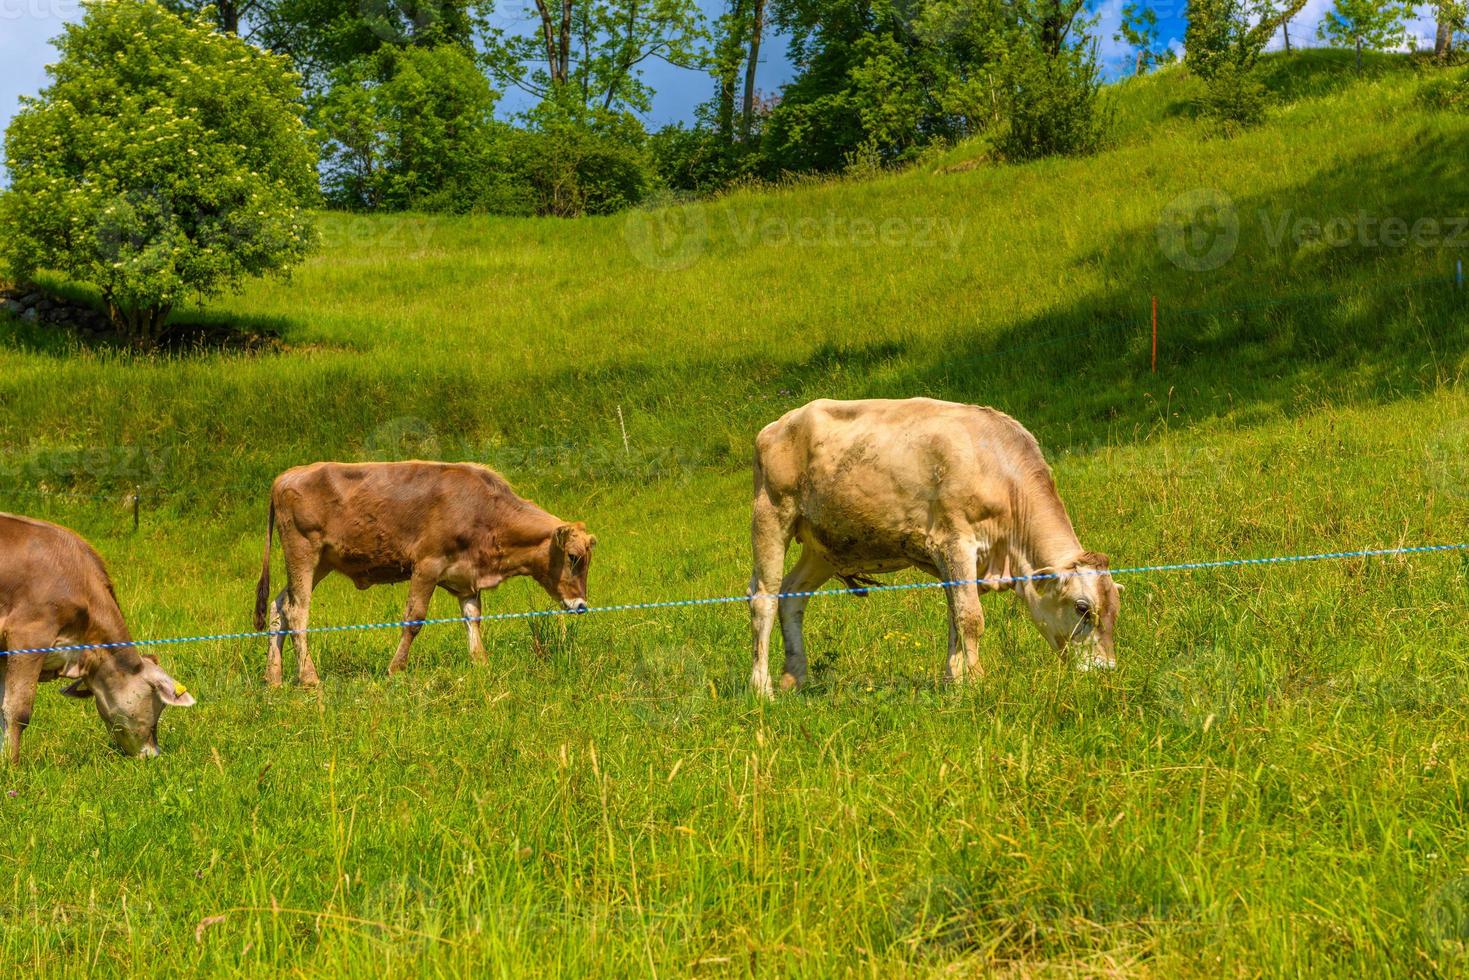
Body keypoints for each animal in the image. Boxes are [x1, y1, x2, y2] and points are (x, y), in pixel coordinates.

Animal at [752, 393, 1116, 693]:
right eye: (1082, 608)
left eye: (1116, 609)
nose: (1106, 670)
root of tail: (778, 425)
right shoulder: (955, 542)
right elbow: (971, 617)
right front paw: (976, 682)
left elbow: (955, 615)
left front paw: (954, 681)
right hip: (771, 515)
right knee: (763, 598)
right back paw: (762, 688)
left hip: (823, 548)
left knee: (792, 595)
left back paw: (794, 678)